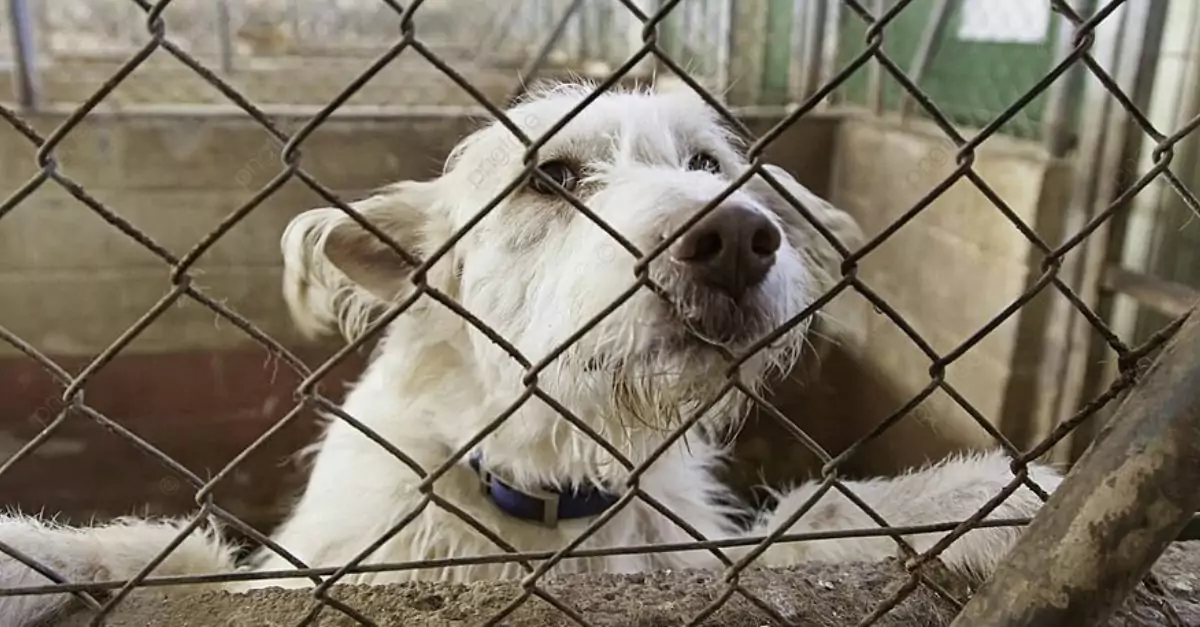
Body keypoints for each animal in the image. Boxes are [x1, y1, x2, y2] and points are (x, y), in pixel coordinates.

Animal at [2, 84, 1060, 624]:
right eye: (549, 177)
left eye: (707, 164)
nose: (737, 238)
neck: (551, 486)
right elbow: (168, 551)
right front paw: (39, 555)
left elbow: (821, 521)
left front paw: (981, 499)